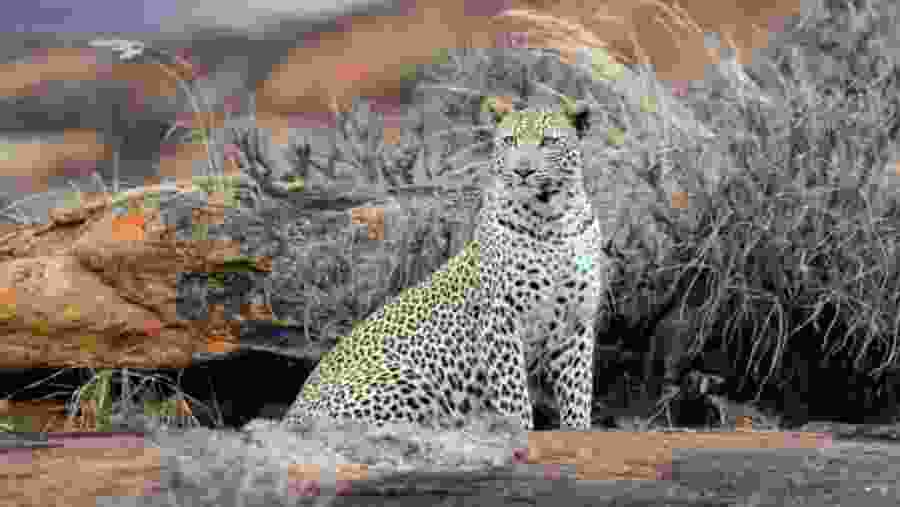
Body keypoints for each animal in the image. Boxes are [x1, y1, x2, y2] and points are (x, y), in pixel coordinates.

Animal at [277, 95, 608, 431]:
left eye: (548, 142)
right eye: (510, 141)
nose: (523, 171)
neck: (554, 220)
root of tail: (290, 416)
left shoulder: (576, 325)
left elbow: (578, 394)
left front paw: (578, 429)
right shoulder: (500, 320)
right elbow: (514, 397)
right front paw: (518, 432)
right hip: (408, 379)